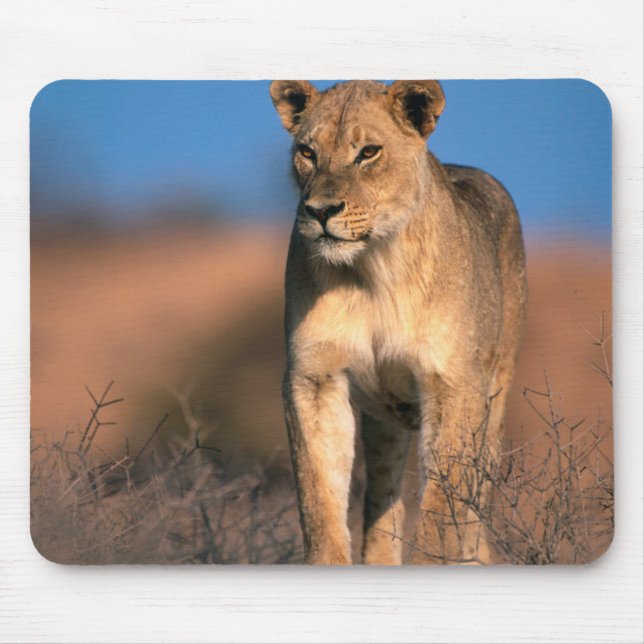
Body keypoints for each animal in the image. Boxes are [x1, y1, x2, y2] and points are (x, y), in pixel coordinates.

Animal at [270, 80, 527, 565]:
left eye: (368, 152)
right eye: (308, 152)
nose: (319, 211)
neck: (373, 270)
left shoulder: (453, 386)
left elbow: (442, 511)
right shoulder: (315, 378)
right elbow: (319, 499)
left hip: (495, 401)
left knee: (474, 510)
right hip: (384, 425)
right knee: (382, 501)